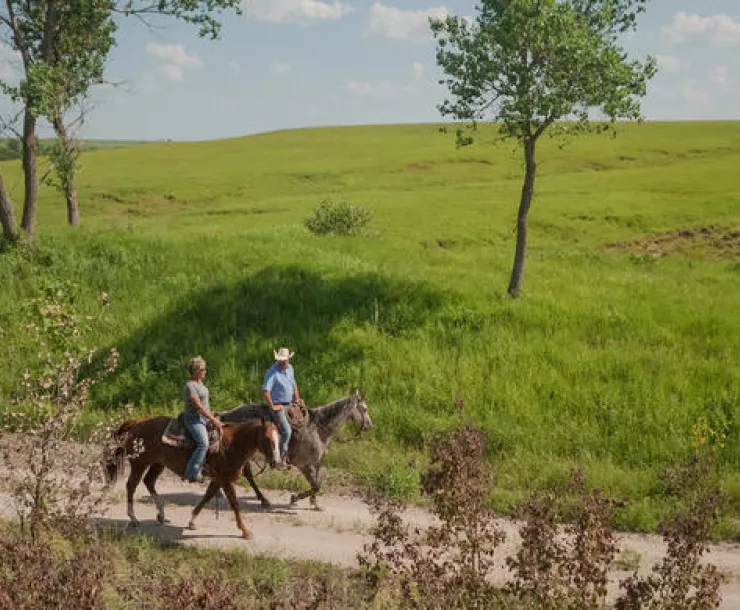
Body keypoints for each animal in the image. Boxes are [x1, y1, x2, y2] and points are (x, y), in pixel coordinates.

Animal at [103, 414, 278, 536]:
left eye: (279, 437)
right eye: (267, 438)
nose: (276, 461)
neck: (231, 444)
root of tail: (137, 423)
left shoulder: (218, 480)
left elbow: (206, 497)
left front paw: (191, 521)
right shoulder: (226, 481)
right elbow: (235, 504)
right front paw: (245, 531)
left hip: (157, 464)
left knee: (149, 482)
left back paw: (161, 515)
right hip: (139, 464)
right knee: (131, 485)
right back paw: (133, 518)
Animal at [218, 390, 370, 508]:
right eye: (364, 409)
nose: (369, 425)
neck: (318, 429)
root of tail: (226, 415)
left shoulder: (316, 462)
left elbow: (316, 484)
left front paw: (314, 503)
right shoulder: (303, 465)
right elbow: (316, 485)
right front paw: (295, 498)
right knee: (245, 473)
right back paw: (262, 499)